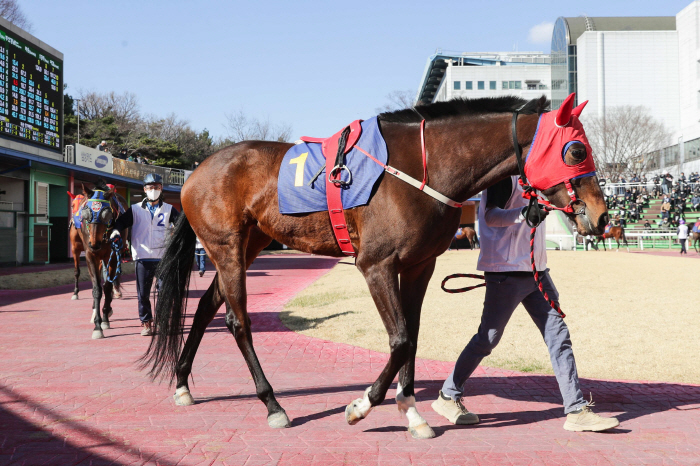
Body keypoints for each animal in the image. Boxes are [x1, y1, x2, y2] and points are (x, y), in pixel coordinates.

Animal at [145, 93, 608, 436]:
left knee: (205, 308)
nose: (603, 216)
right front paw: (361, 404)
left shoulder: (419, 265)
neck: (420, 168)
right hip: (226, 247)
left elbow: (413, 336)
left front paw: (412, 411)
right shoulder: (376, 265)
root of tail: (194, 173)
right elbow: (400, 338)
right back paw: (273, 404)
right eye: (576, 150)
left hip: (249, 244)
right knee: (237, 320)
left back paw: (183, 384)